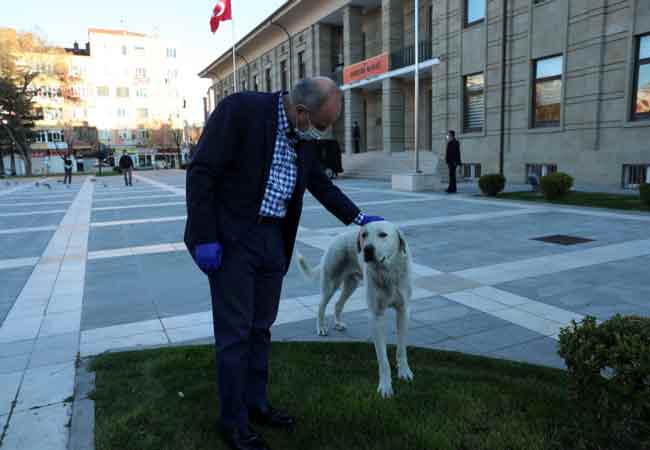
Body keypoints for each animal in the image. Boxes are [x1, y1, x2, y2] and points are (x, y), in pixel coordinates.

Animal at [296, 221, 412, 398]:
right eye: (364, 235)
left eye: (383, 235)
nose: (367, 249)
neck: (387, 272)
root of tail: (338, 236)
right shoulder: (376, 316)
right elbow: (383, 360)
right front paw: (385, 387)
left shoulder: (403, 311)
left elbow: (401, 350)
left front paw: (404, 372)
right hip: (331, 282)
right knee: (322, 305)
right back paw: (321, 327)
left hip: (352, 284)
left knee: (338, 304)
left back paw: (338, 323)